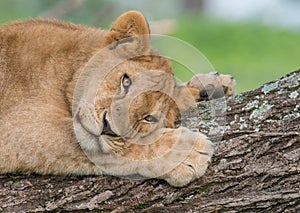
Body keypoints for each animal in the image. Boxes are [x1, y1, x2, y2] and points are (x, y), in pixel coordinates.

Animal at [0, 10, 234, 186]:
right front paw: (187, 153)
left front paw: (212, 86)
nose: (108, 127)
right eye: (126, 81)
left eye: (149, 118)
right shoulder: (16, 128)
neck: (68, 72)